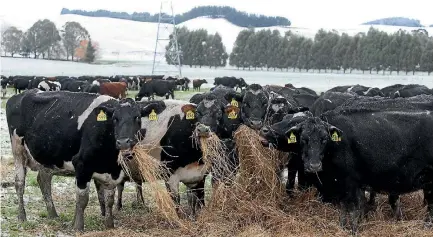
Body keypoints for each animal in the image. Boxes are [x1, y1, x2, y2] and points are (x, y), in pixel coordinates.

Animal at [5, 90, 153, 231]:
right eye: (115, 119)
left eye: (137, 117)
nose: (123, 142)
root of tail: (22, 95)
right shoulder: (82, 165)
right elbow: (82, 199)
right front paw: (78, 227)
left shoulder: (112, 172)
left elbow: (109, 199)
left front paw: (109, 224)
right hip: (18, 149)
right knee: (19, 183)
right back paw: (22, 216)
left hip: (47, 157)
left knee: (43, 180)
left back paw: (53, 214)